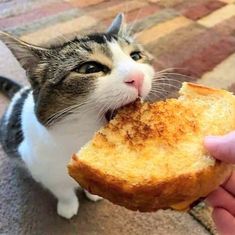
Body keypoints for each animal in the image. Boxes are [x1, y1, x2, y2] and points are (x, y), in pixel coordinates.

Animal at [0, 13, 154, 219]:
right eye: (90, 68)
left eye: (136, 56)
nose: (138, 76)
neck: (82, 138)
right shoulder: (43, 170)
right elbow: (63, 192)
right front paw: (68, 206)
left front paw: (93, 192)